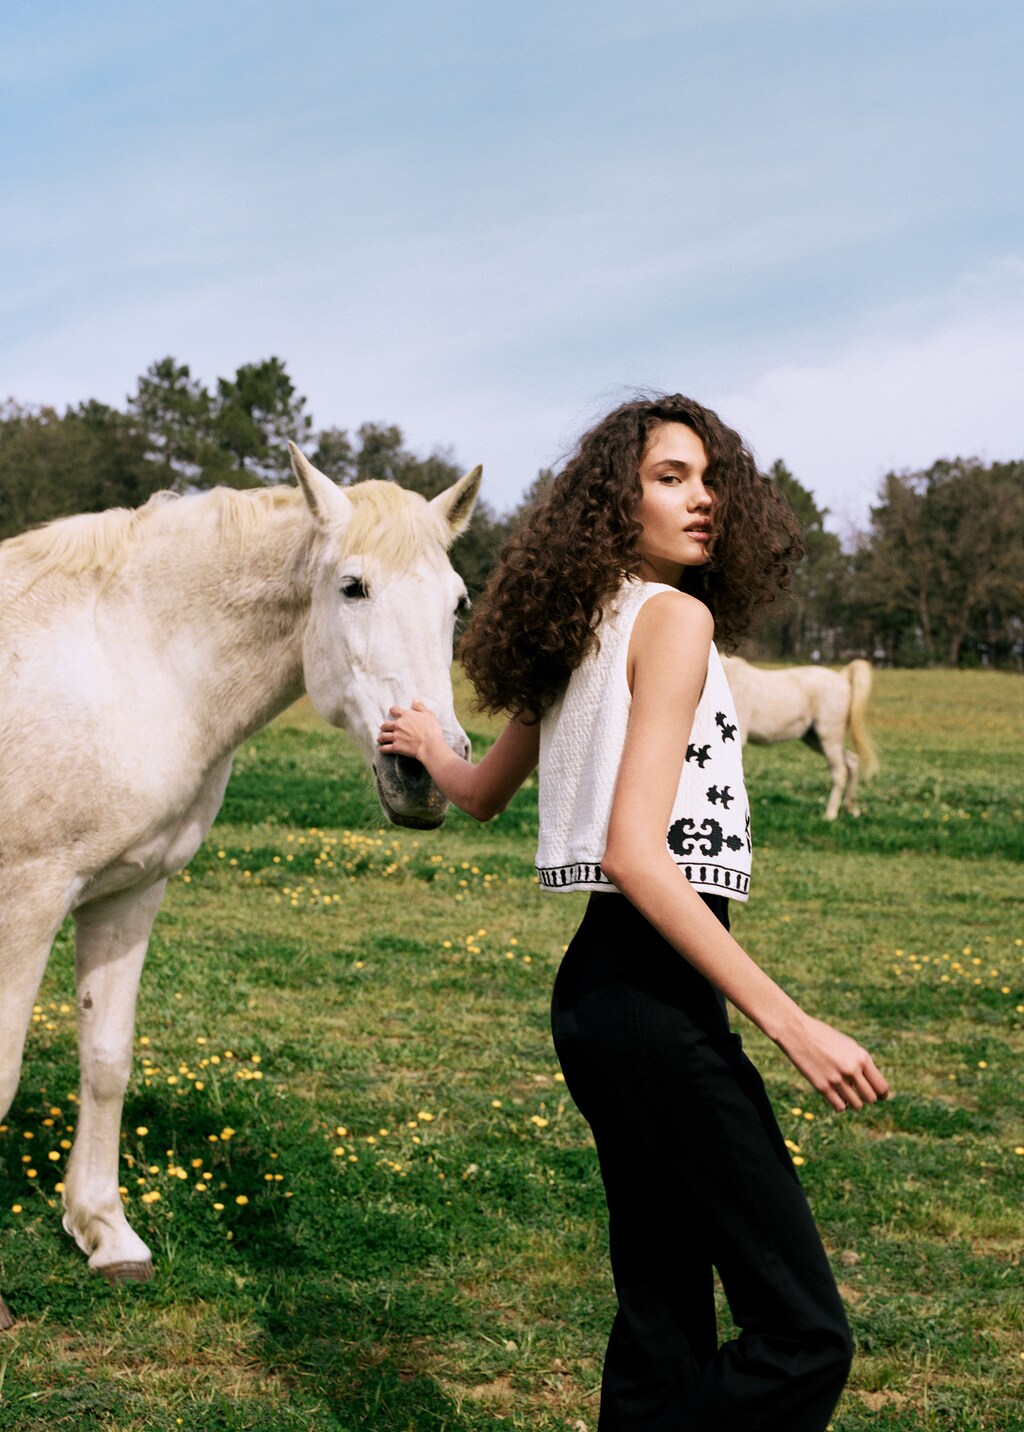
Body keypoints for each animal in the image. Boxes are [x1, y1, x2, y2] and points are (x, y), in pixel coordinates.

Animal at [0, 441, 481, 1323]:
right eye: (352, 587)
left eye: (459, 603)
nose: (424, 774)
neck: (127, 661)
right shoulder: (28, 898)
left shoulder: (128, 892)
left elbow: (107, 1059)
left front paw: (105, 1234)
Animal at [721, 655, 882, 824]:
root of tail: (842, 678)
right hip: (816, 740)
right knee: (852, 762)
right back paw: (851, 809)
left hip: (829, 740)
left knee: (840, 773)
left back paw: (830, 814)